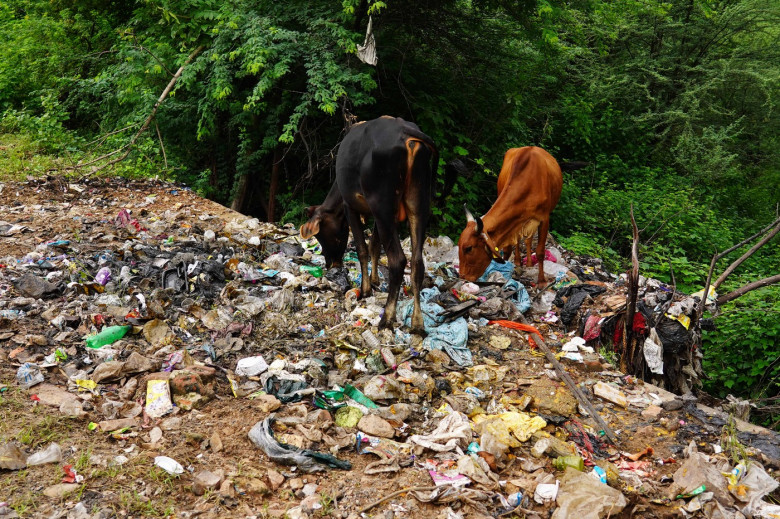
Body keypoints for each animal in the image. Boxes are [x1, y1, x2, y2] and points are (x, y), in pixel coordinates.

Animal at [298, 116, 438, 336]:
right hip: (418, 206)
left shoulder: (351, 207)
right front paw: (374, 281)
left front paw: (365, 290)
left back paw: (387, 317)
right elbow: (374, 246)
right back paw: (417, 323)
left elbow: (363, 249)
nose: (331, 264)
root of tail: (406, 131)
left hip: (383, 205)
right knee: (417, 262)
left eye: (321, 236)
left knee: (398, 260)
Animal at [458, 145, 560, 284]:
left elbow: (540, 252)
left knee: (528, 240)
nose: (462, 277)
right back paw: (517, 261)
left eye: (469, 248)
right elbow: (507, 250)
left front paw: (541, 281)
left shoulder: (544, 219)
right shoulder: (512, 223)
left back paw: (528, 263)